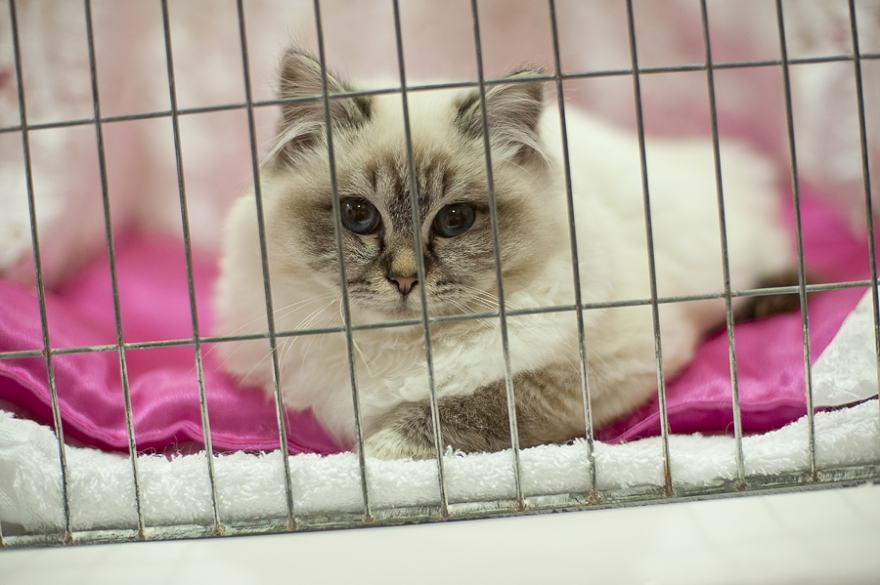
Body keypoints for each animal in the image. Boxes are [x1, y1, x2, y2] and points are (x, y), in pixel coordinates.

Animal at [213, 50, 792, 458]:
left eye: (454, 220)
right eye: (358, 216)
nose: (404, 280)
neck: (400, 343)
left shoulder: (609, 366)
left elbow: (480, 403)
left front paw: (377, 451)